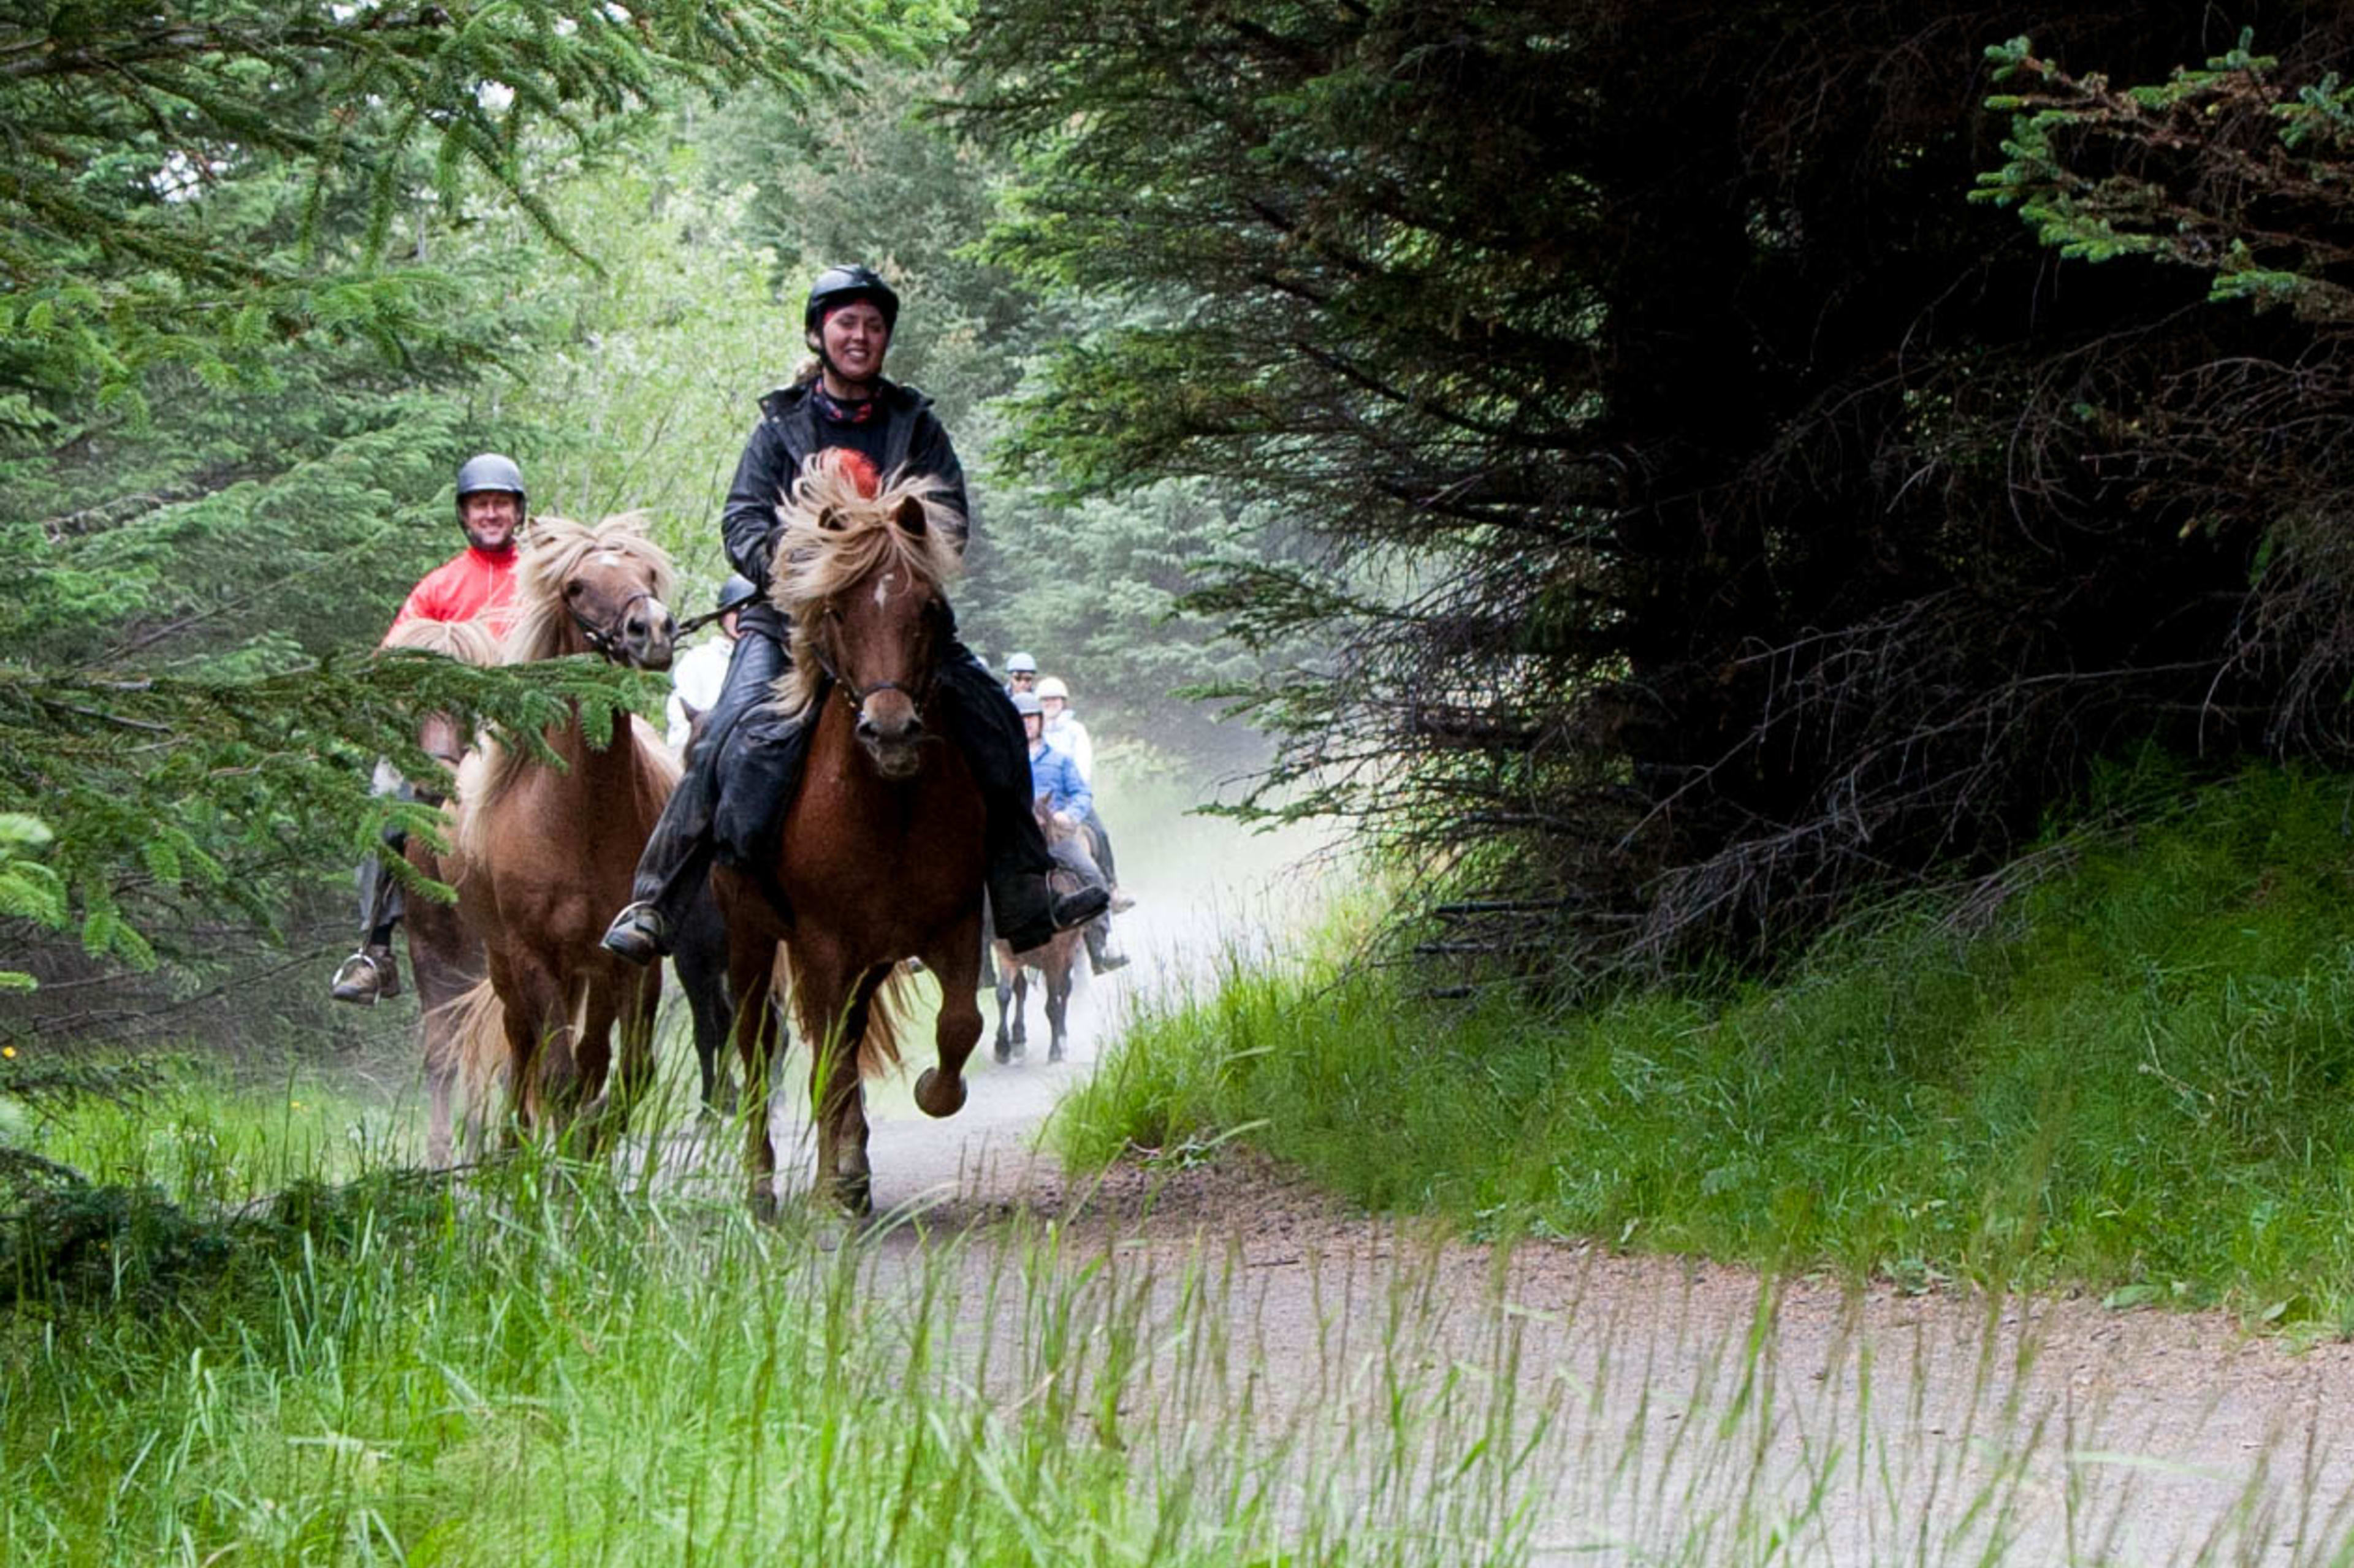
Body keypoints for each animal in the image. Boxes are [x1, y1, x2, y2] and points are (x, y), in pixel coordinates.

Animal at [449, 517, 677, 1144]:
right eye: (576, 586)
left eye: (647, 574)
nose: (653, 630)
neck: (580, 818)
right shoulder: (533, 956)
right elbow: (555, 1074)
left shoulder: (628, 958)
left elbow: (626, 1071)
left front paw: (590, 1144)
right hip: (506, 964)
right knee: (522, 1050)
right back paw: (513, 1144)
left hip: (589, 971)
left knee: (589, 1058)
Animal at [706, 459, 984, 1214]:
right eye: (836, 611)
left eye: (929, 609)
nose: (890, 733)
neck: (887, 810)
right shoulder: (821, 944)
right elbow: (826, 1063)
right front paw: (831, 1191)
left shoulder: (953, 926)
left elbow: (959, 1026)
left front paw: (928, 1093)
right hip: (751, 938)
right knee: (760, 1044)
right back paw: (764, 1186)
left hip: (868, 961)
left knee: (849, 1041)